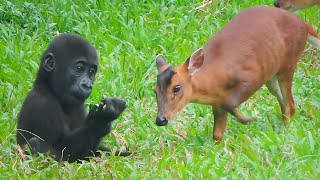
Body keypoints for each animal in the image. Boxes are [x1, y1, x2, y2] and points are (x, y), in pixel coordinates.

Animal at [16, 34, 130, 163]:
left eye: (91, 72)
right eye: (79, 68)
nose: (87, 85)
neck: (49, 89)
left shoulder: (78, 105)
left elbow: (90, 151)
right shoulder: (43, 105)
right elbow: (63, 153)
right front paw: (100, 122)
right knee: (35, 144)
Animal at [154, 5, 318, 143]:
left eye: (176, 87)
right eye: (154, 90)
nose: (160, 120)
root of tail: (304, 25)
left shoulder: (252, 77)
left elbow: (229, 103)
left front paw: (248, 119)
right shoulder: (217, 104)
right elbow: (217, 134)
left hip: (288, 64)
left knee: (290, 103)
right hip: (272, 75)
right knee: (284, 102)